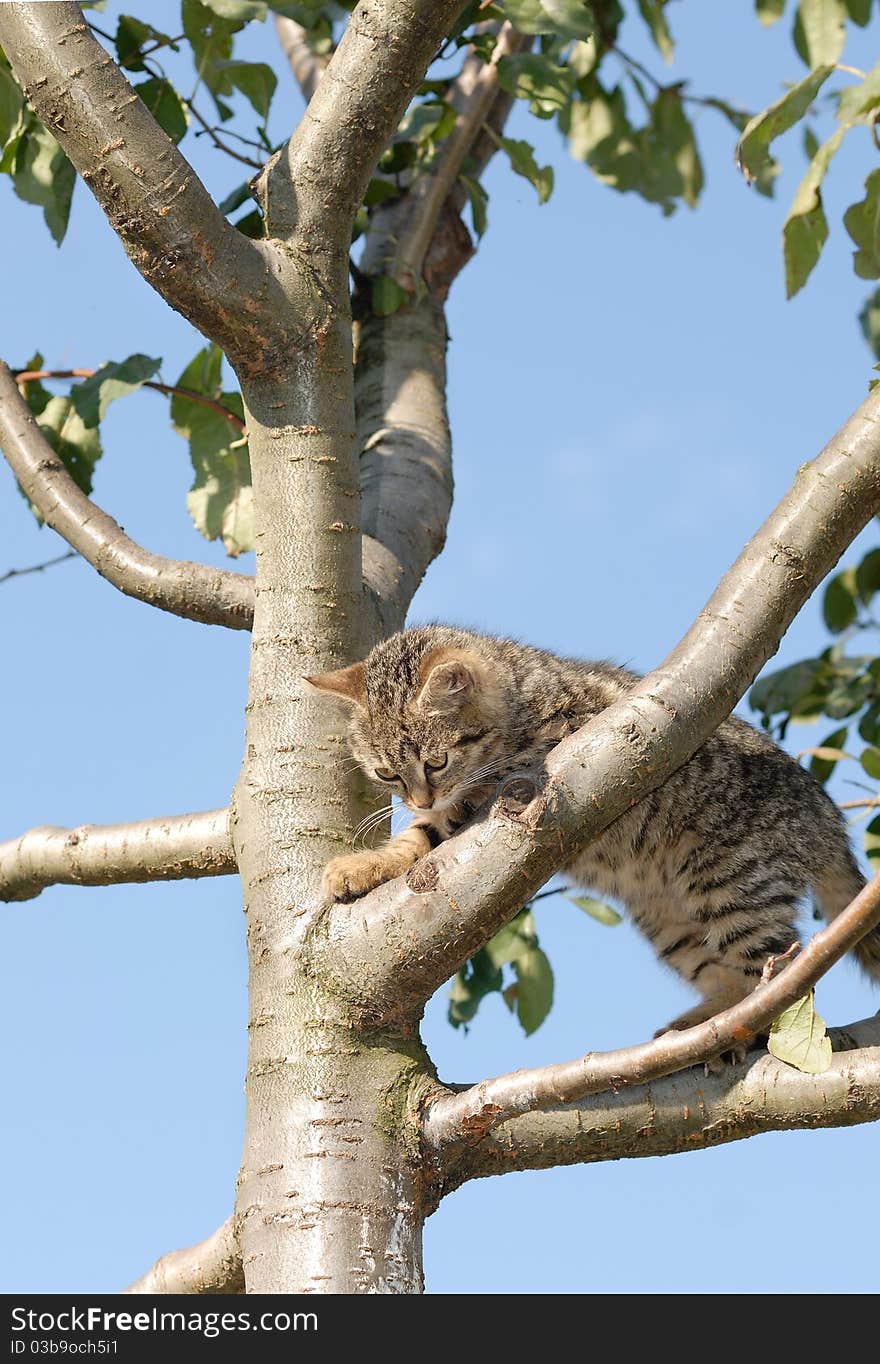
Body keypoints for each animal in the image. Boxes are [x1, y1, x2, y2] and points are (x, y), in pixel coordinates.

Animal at [306, 627, 873, 1031]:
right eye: (386, 774)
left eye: (436, 761)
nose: (416, 797)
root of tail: (827, 815)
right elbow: (419, 836)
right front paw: (366, 863)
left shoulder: (522, 769)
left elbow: (441, 823)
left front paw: (380, 851)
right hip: (670, 921)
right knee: (728, 979)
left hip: (735, 890)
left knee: (780, 975)